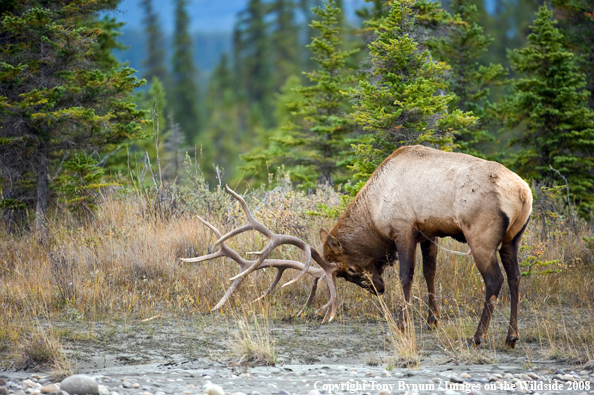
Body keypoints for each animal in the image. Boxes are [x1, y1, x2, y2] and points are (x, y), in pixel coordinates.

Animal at [182, 145, 532, 350]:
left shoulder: (404, 228)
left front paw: (403, 323)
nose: (377, 289)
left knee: (495, 280)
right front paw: (432, 320)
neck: (375, 210)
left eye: (349, 268)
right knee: (516, 278)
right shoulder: (429, 233)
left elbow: (407, 276)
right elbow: (430, 274)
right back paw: (511, 336)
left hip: (480, 235)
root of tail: (523, 193)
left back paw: (478, 336)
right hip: (513, 239)